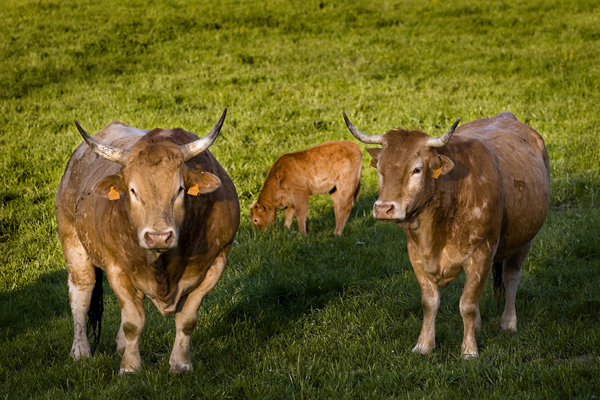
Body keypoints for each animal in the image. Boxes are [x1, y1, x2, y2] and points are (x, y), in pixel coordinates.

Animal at [55, 110, 239, 376]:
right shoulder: (116, 266)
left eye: (180, 189)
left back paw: (120, 345)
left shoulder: (216, 262)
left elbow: (186, 319)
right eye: (133, 190)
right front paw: (130, 368)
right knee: (82, 291)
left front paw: (180, 364)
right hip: (72, 239)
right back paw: (80, 351)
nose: (158, 236)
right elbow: (133, 322)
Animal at [344, 111, 552, 358]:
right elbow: (430, 302)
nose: (384, 208)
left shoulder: (482, 253)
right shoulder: (416, 255)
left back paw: (508, 323)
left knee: (511, 278)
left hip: (523, 241)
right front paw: (424, 345)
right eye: (379, 169)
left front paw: (469, 351)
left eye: (416, 169)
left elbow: (467, 304)